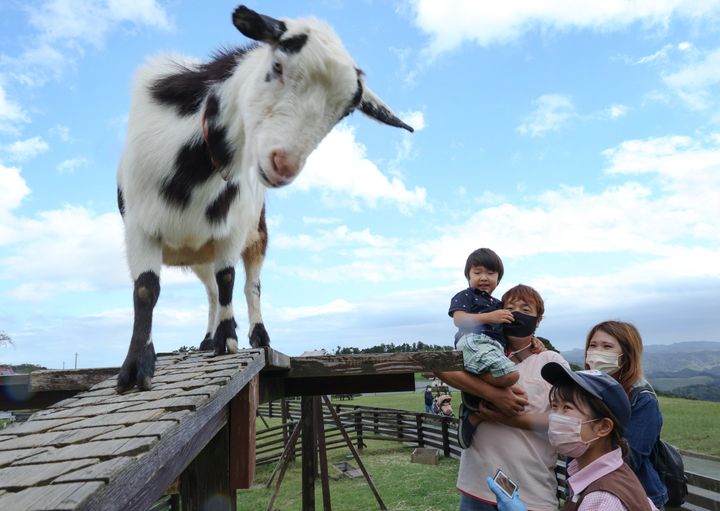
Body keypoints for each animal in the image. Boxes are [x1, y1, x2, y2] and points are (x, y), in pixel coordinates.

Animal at [115, 5, 414, 392]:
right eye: (277, 66)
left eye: (345, 111)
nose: (282, 164)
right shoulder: (140, 227)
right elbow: (146, 290)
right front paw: (135, 369)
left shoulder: (230, 229)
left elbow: (229, 279)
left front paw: (228, 340)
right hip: (199, 254)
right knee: (210, 291)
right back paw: (206, 339)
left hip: (258, 234)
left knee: (248, 285)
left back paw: (256, 335)